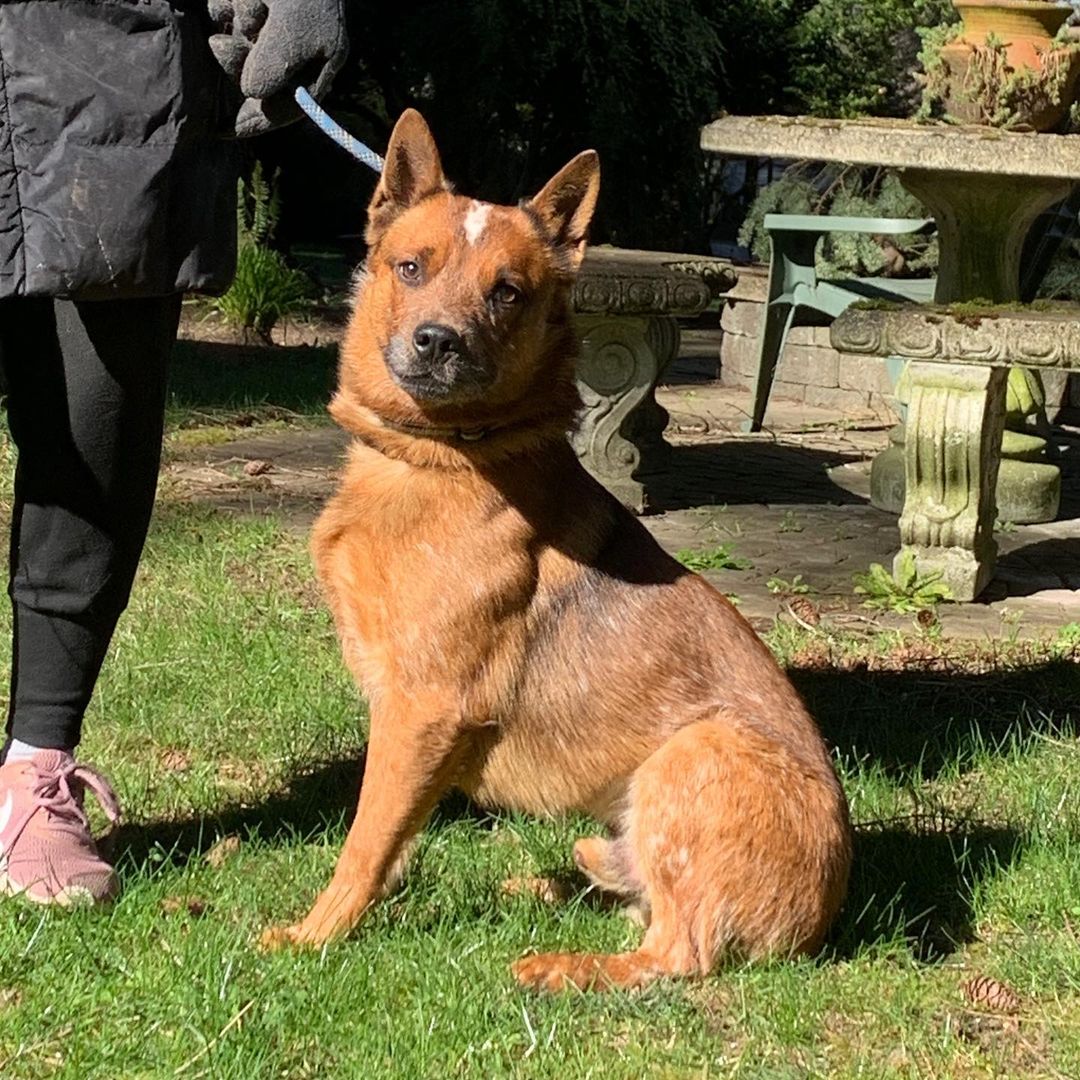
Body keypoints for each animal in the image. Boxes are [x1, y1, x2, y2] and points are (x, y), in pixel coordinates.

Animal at [261, 111, 851, 993]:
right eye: (410, 266)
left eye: (507, 291)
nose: (437, 342)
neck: (438, 459)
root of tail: (819, 923)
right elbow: (395, 841)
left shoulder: (422, 709)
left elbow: (364, 842)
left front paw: (314, 937)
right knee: (637, 903)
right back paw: (546, 887)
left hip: (690, 752)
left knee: (677, 953)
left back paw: (559, 964)